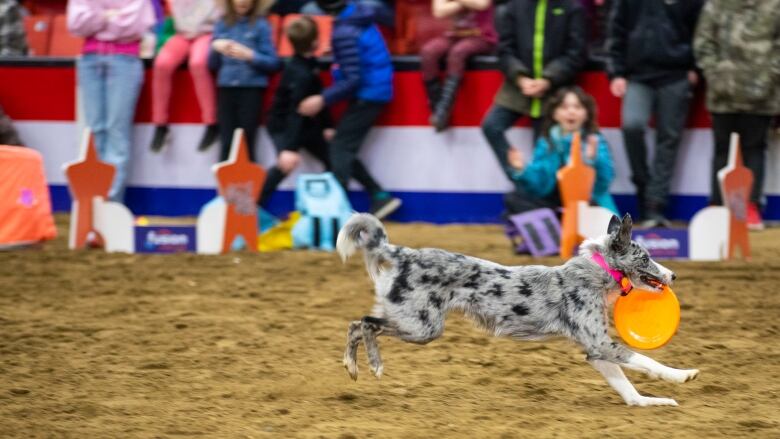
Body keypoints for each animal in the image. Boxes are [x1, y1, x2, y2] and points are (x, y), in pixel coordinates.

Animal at [336, 212, 700, 406]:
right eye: (646, 258)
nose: (674, 275)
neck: (597, 270)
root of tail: (402, 252)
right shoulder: (602, 344)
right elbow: (648, 361)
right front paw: (683, 375)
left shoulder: (595, 351)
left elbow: (627, 388)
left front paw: (650, 402)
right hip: (422, 326)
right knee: (363, 323)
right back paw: (370, 365)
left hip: (417, 324)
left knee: (357, 324)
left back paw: (355, 367)